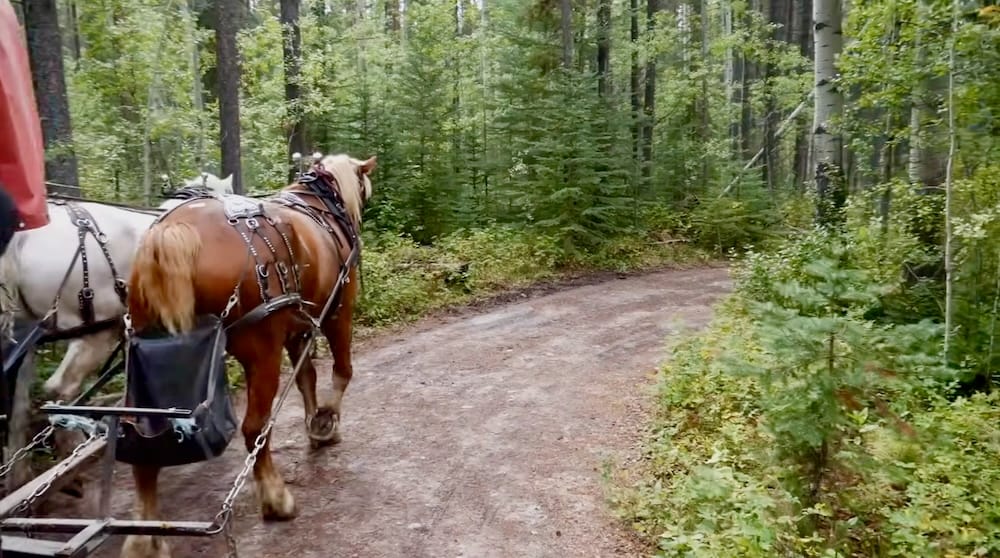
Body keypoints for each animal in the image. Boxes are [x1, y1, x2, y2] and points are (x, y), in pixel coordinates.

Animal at [120, 154, 374, 558]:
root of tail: (172, 232)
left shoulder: (298, 326)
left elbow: (306, 378)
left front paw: (314, 425)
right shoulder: (338, 311)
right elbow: (341, 371)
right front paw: (326, 422)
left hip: (142, 357)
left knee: (142, 440)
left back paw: (146, 536)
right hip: (261, 350)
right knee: (255, 427)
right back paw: (276, 498)